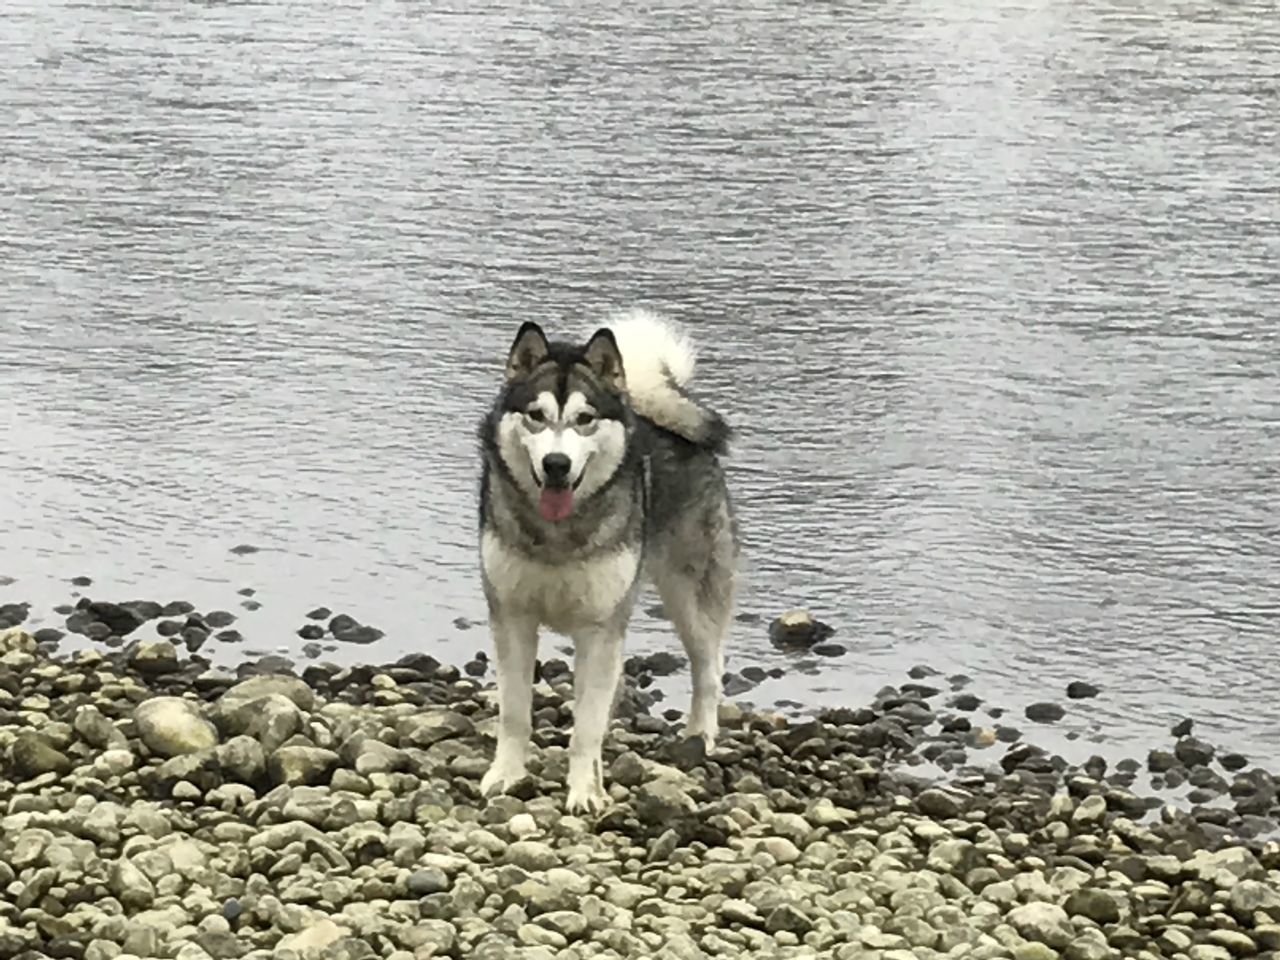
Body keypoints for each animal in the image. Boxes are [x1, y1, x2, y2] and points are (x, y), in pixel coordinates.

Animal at [478, 305, 742, 814]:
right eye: (536, 416)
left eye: (584, 418)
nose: (556, 465)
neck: (557, 532)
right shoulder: (511, 616)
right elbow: (516, 713)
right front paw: (506, 774)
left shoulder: (599, 627)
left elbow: (587, 727)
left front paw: (584, 791)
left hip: (689, 595)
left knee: (708, 668)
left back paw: (699, 736)